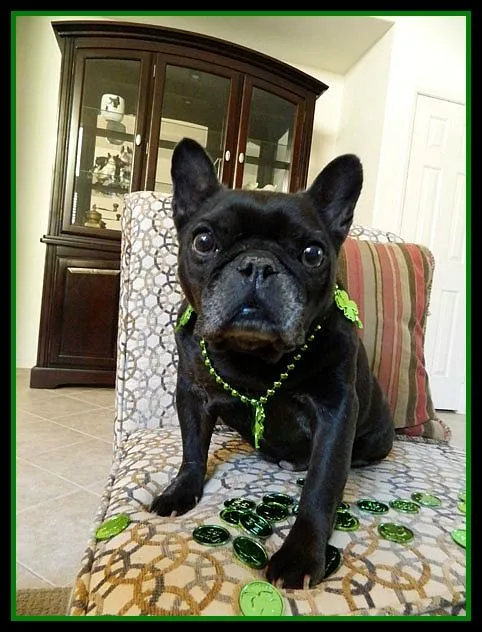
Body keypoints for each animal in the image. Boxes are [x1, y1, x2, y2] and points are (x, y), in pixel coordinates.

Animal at [151, 137, 394, 589]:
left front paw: (301, 555)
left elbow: (321, 484)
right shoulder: (191, 393)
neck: (255, 355)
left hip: (375, 436)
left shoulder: (336, 411)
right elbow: (192, 449)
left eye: (313, 253)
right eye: (203, 241)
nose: (258, 264)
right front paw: (180, 491)